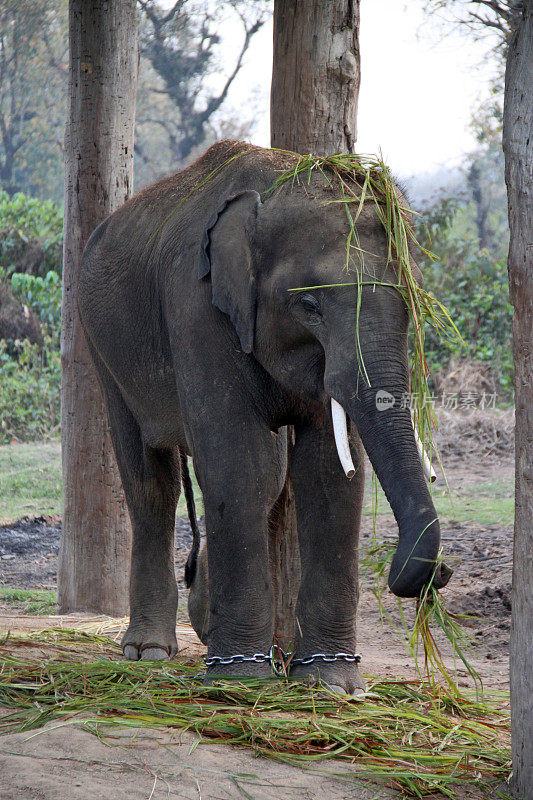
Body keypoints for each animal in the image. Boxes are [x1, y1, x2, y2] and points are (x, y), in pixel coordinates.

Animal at [77, 141, 446, 696]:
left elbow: (329, 476)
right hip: (104, 347)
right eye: (310, 305)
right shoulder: (196, 308)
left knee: (269, 479)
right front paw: (239, 681)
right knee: (151, 481)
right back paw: (149, 652)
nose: (438, 574)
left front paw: (331, 683)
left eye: (412, 303)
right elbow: (238, 463)